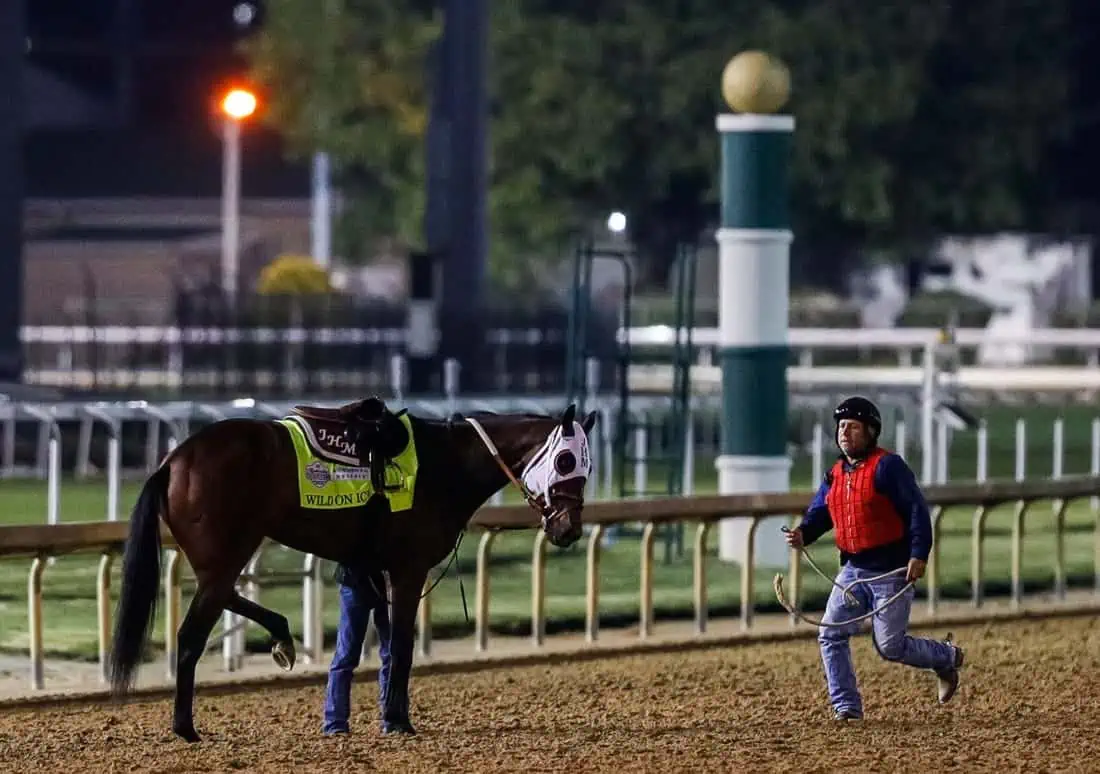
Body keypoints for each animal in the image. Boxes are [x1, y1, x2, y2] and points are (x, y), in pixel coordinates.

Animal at [107, 400, 598, 743]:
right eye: (565, 461)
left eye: (586, 466)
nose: (569, 529)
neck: (445, 464)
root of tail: (173, 461)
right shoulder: (408, 568)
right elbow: (402, 647)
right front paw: (398, 720)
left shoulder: (375, 568)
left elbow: (385, 644)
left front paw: (390, 714)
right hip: (228, 553)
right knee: (191, 636)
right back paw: (185, 727)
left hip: (221, 558)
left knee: (224, 594)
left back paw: (281, 635)